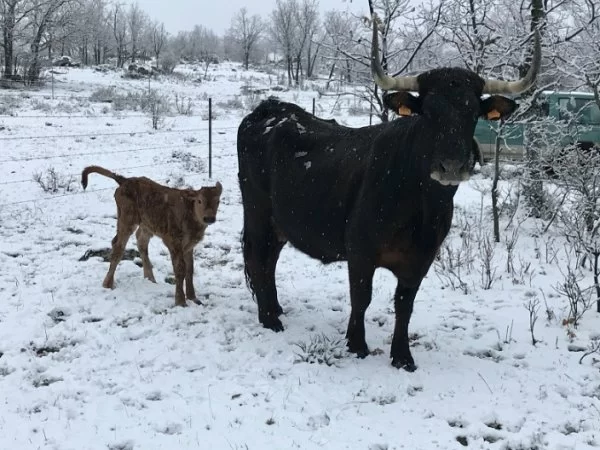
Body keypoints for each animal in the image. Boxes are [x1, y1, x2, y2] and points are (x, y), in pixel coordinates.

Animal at [82, 165, 223, 306]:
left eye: (218, 201)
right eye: (199, 201)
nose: (209, 218)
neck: (190, 216)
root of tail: (125, 180)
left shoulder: (189, 245)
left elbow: (190, 270)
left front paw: (193, 297)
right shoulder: (173, 242)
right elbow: (180, 269)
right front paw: (180, 301)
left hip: (146, 224)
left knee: (141, 241)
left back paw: (150, 279)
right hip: (126, 219)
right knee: (118, 246)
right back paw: (108, 284)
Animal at [237, 12, 540, 370]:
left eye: (472, 113)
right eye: (428, 112)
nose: (452, 166)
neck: (421, 207)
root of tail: (270, 107)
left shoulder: (421, 259)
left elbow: (404, 305)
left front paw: (402, 355)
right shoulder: (360, 252)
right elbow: (361, 298)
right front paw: (356, 344)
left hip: (281, 222)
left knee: (269, 260)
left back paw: (275, 309)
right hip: (257, 212)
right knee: (257, 258)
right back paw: (269, 318)